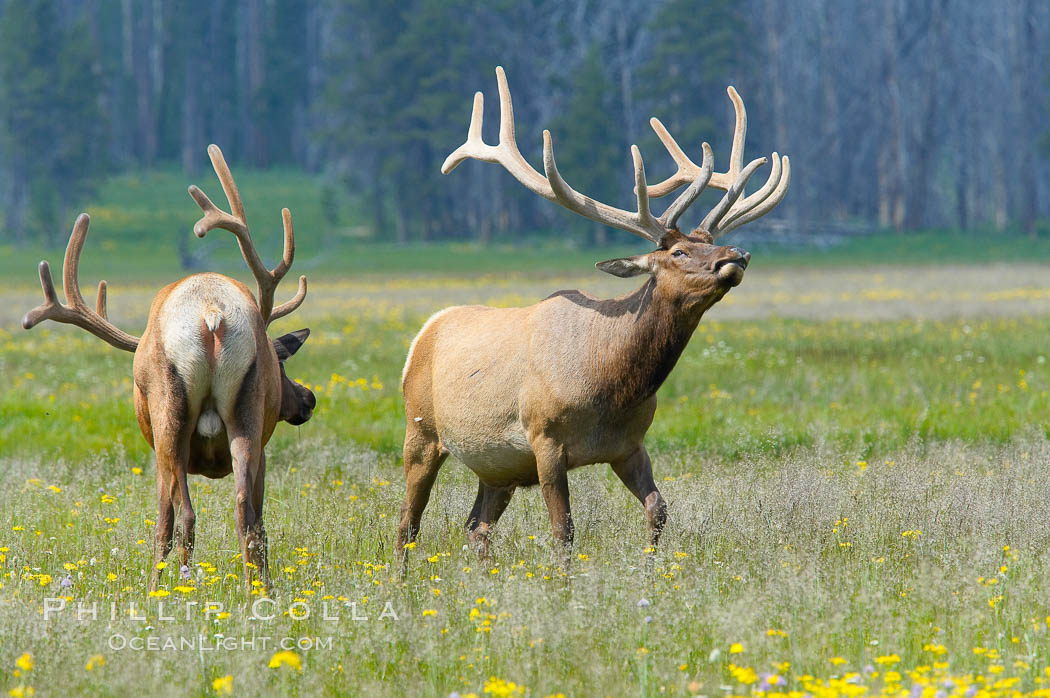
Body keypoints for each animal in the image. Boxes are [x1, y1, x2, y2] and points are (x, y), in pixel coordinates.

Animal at [21, 143, 310, 591]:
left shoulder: (156, 447)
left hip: (168, 411)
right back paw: (256, 590)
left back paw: (172, 588)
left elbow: (164, 520)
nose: (308, 398)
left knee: (183, 518)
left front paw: (155, 584)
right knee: (246, 513)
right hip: (247, 411)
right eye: (283, 366)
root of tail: (211, 314)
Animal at [396, 68, 789, 562]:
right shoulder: (544, 439)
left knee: (475, 528)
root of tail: (422, 335)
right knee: (408, 521)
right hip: (421, 431)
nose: (736, 255)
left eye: (710, 242)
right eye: (678, 252)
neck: (611, 382)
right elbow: (563, 529)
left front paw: (651, 566)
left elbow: (659, 509)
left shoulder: (629, 444)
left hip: (497, 466)